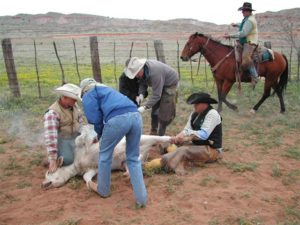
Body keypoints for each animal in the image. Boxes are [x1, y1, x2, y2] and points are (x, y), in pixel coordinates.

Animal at [41, 125, 171, 190]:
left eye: (48, 172)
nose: (42, 184)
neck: (77, 164)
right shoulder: (93, 169)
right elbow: (86, 177)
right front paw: (93, 185)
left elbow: (83, 140)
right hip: (130, 158)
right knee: (134, 161)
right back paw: (128, 172)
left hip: (142, 138)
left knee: (160, 138)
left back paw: (174, 139)